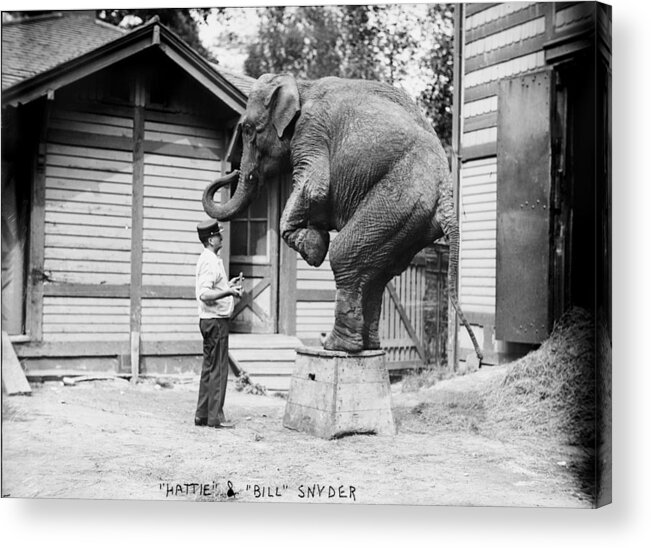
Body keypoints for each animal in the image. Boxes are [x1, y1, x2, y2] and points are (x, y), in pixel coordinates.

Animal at [204, 74, 484, 364]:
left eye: (248, 130)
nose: (232, 170)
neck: (301, 85)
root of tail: (446, 196)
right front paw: (315, 237)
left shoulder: (311, 131)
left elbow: (315, 185)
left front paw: (314, 248)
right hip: (413, 221)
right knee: (379, 273)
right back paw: (366, 346)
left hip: (399, 199)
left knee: (344, 256)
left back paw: (334, 345)